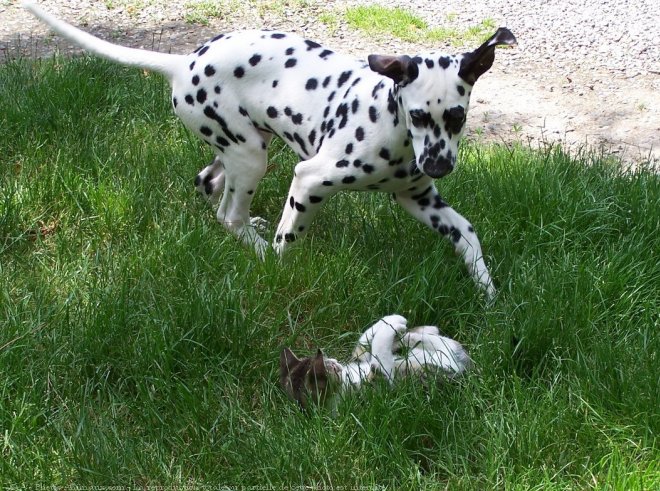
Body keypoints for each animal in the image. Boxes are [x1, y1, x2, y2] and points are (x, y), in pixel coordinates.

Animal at [278, 316, 470, 412]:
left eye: (329, 361)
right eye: (330, 367)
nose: (335, 362)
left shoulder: (361, 359)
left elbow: (362, 344)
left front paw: (390, 320)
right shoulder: (380, 385)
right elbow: (379, 354)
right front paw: (393, 325)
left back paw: (415, 333)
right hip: (436, 371)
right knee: (449, 352)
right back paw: (413, 334)